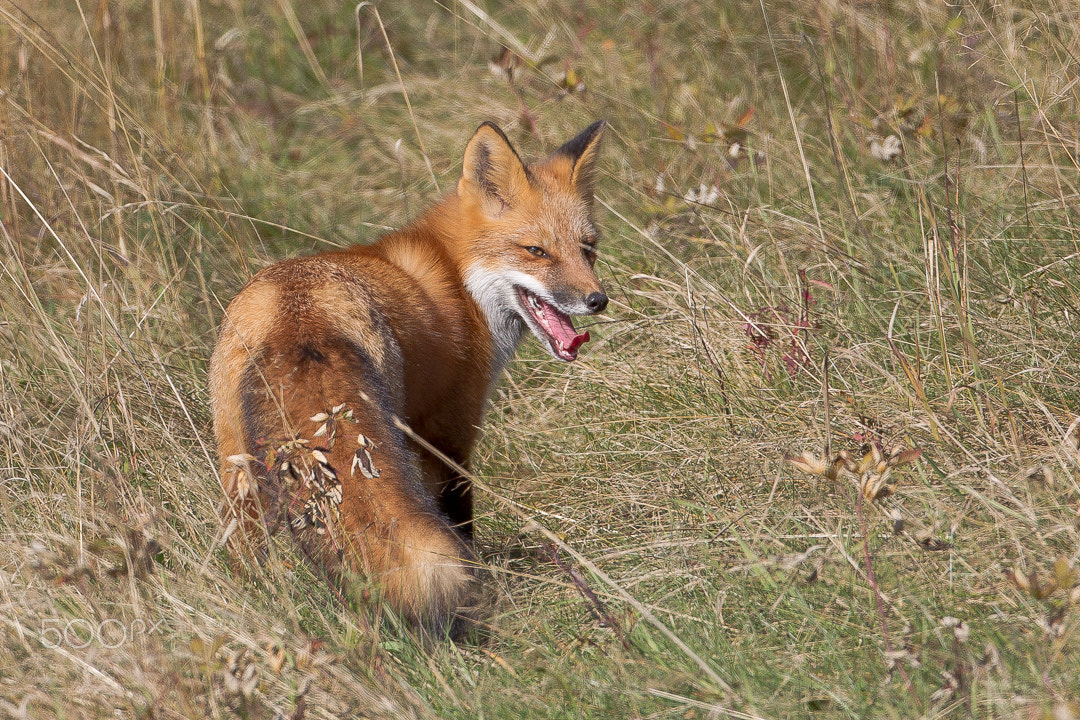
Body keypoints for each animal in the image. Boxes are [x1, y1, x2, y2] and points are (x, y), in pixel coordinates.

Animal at [209, 120, 608, 633]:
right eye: (536, 251)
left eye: (588, 249)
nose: (597, 300)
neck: (460, 282)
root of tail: (297, 313)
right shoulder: (448, 433)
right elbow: (459, 519)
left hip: (238, 466)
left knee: (241, 548)